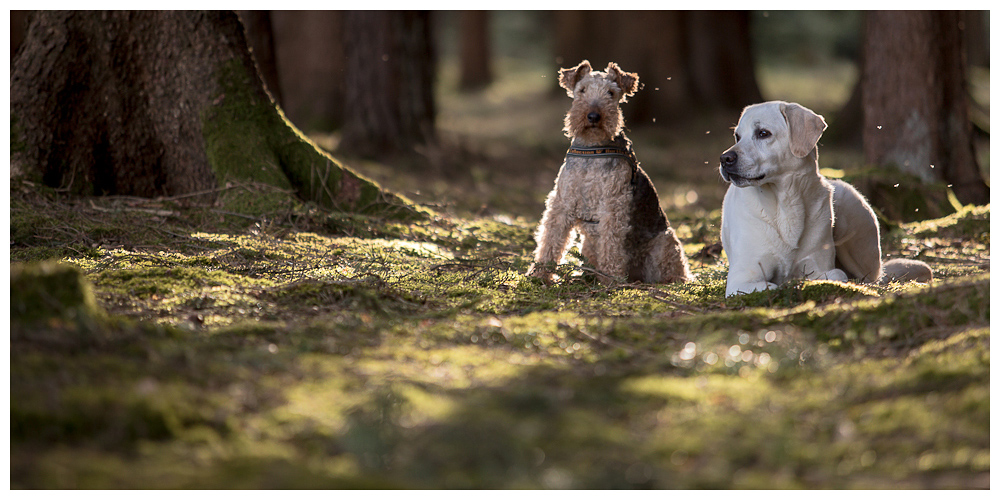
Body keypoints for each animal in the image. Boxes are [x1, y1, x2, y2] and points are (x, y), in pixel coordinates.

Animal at [528, 60, 692, 286]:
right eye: (582, 90)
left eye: (611, 93)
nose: (593, 116)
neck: (593, 149)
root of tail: (635, 272)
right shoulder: (562, 201)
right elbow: (550, 240)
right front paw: (540, 274)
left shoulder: (613, 204)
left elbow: (611, 245)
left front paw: (610, 278)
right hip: (588, 244)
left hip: (664, 245)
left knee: (675, 271)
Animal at [720, 101, 928, 296]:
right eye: (737, 136)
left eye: (763, 133)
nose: (724, 158)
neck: (785, 201)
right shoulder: (742, 279)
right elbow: (772, 285)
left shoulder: (818, 266)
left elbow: (837, 274)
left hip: (850, 205)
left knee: (871, 277)